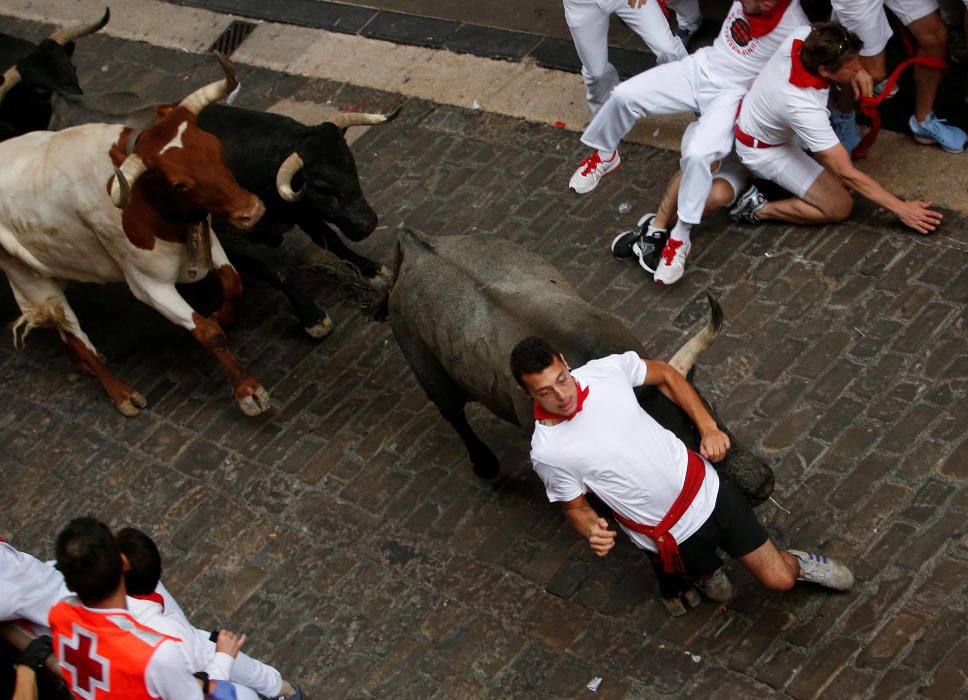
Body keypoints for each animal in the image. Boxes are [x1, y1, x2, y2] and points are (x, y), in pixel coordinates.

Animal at [0, 56, 268, 416]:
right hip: (27, 277)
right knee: (74, 333)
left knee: (62, 328)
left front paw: (224, 316)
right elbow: (208, 333)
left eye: (215, 146)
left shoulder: (206, 238)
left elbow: (233, 282)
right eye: (179, 183)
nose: (250, 209)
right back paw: (120, 392)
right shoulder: (149, 285)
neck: (147, 199)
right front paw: (247, 389)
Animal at [390, 232, 776, 506]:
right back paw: (485, 465)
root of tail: (414, 245)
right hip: (423, 365)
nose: (760, 483)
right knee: (454, 414)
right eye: (677, 449)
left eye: (707, 406)